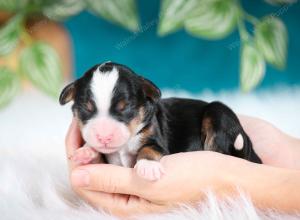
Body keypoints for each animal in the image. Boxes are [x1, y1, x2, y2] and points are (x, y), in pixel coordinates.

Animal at [59, 61, 262, 180]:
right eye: (86, 108)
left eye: (126, 108)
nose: (104, 137)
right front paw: (85, 152)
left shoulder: (156, 139)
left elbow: (149, 148)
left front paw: (148, 167)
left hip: (218, 112)